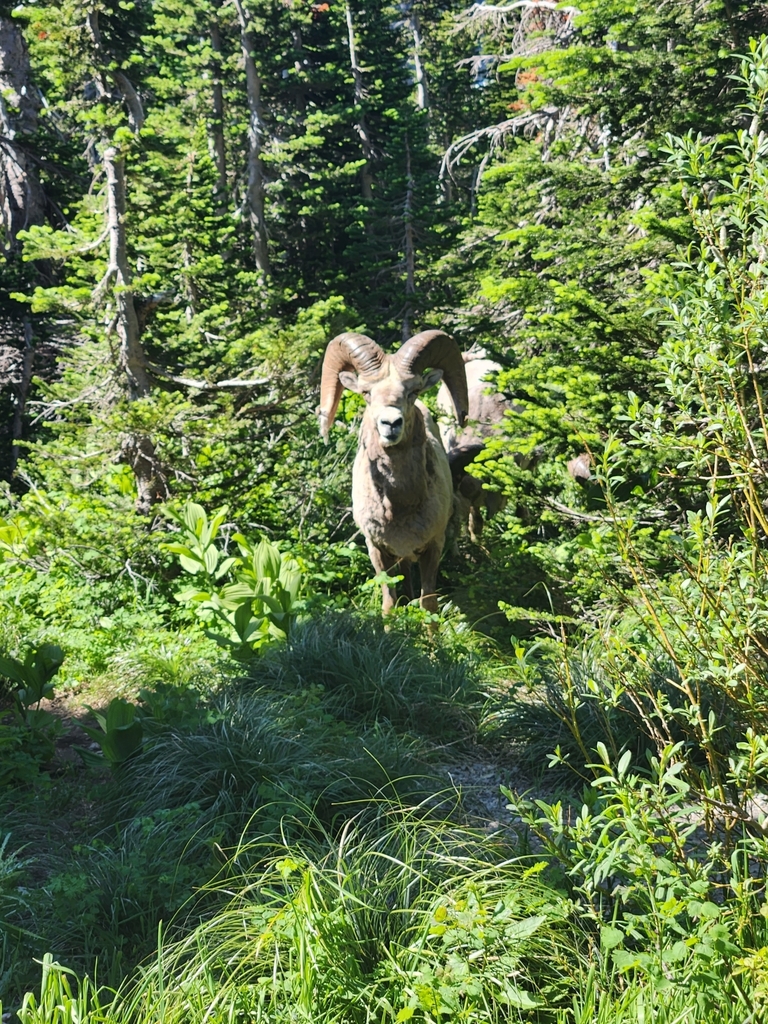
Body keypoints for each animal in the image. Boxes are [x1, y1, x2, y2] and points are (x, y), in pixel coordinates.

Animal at [319, 329, 469, 613]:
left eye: (414, 390)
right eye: (366, 392)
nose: (391, 423)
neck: (400, 507)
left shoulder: (433, 547)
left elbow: (428, 603)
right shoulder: (378, 549)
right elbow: (389, 601)